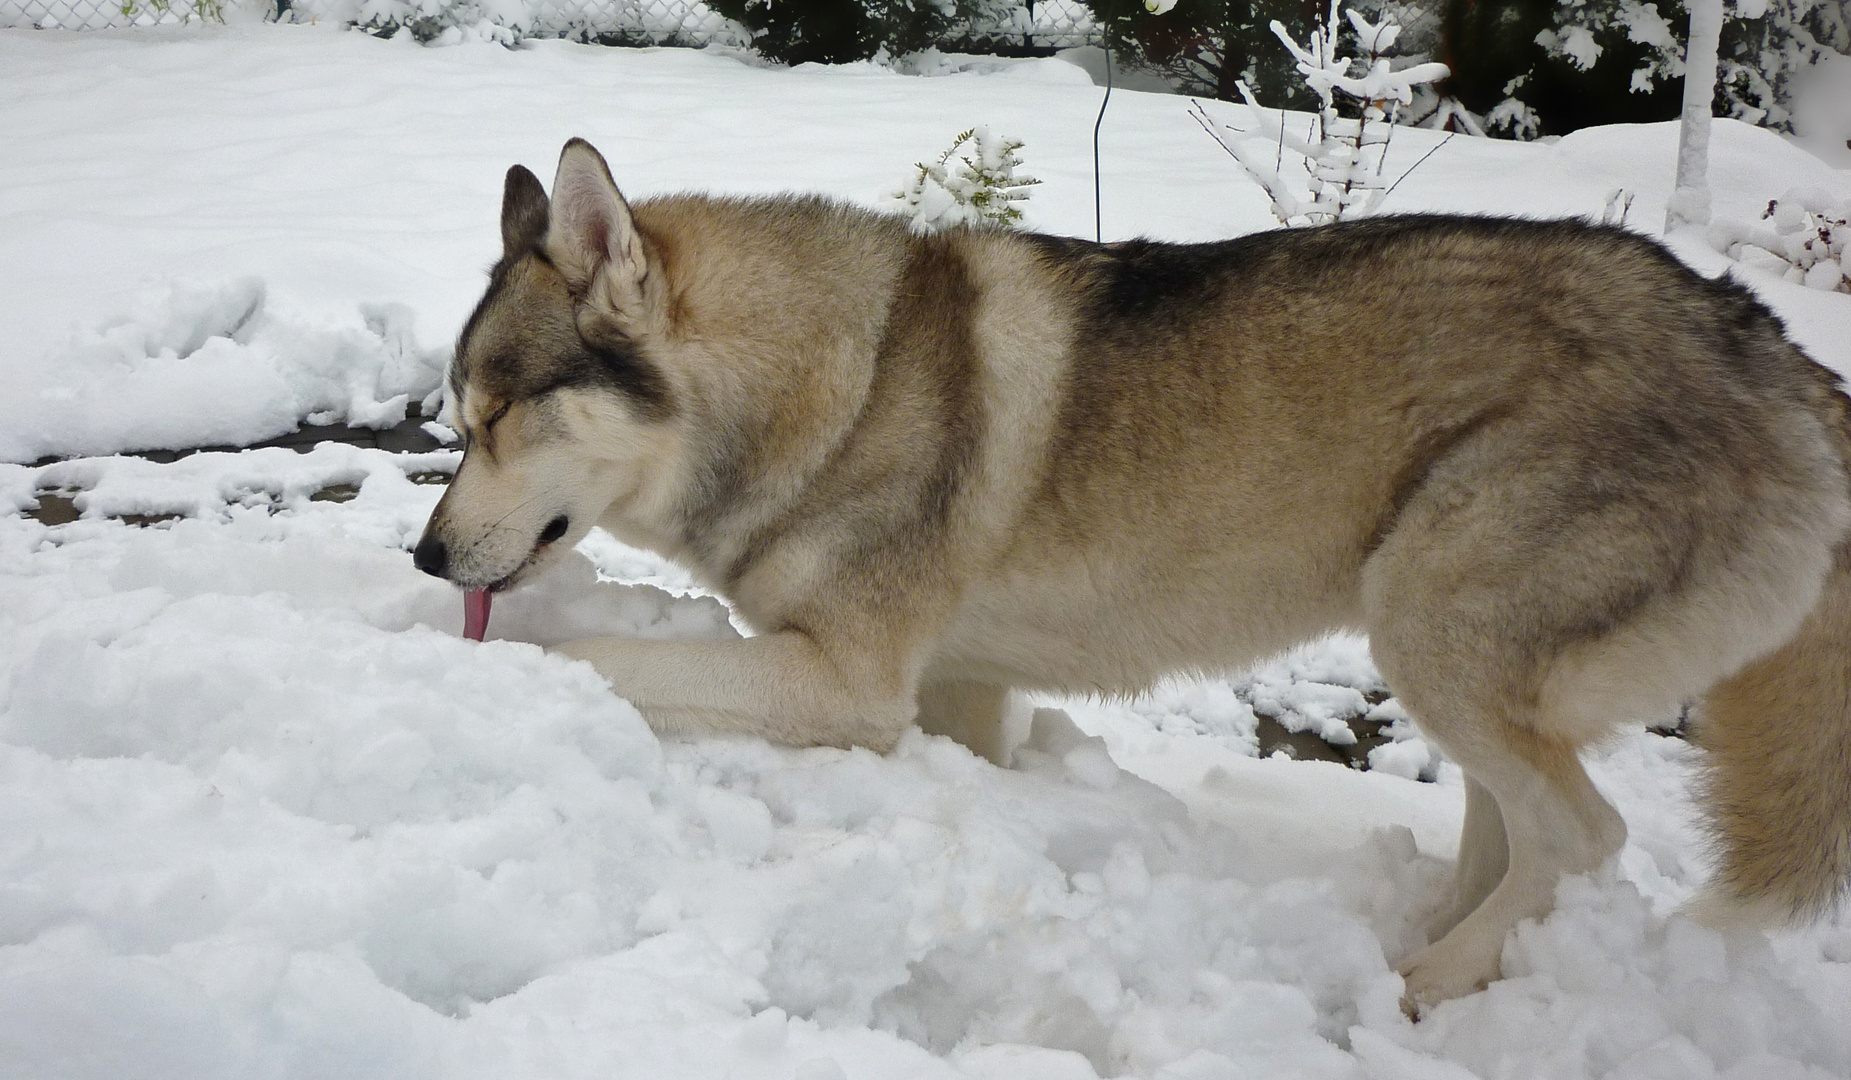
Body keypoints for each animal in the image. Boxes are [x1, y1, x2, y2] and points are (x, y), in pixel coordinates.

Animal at [412, 139, 1851, 1007]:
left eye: (492, 420)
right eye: (453, 422)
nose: (423, 554)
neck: (832, 382)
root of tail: (1774, 351)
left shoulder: (851, 686)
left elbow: (600, 655)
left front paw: (494, 671)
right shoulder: (954, 695)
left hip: (1426, 626)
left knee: (1587, 835)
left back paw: (1421, 990)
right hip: (1454, 660)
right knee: (1512, 830)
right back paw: (1424, 945)